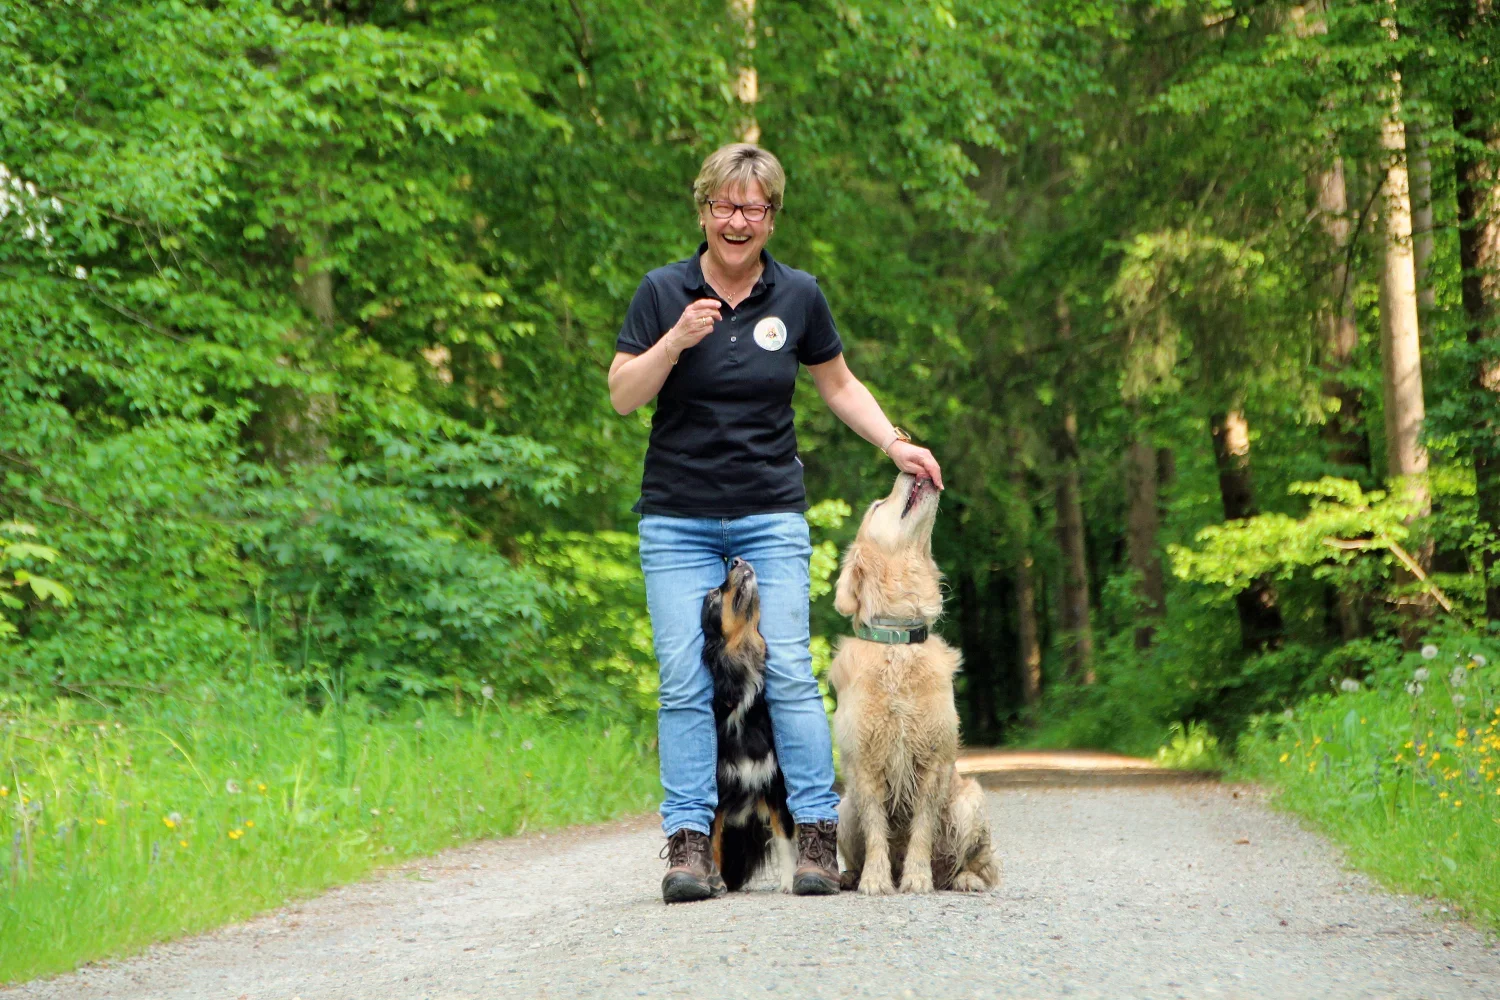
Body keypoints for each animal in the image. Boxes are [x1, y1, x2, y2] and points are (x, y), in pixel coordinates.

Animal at [828, 473, 1002, 893]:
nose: (908, 469)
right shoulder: (865, 761)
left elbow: (922, 825)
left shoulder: (934, 760)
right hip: (843, 808)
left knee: (976, 865)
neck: (899, 640)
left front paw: (917, 877)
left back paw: (964, 878)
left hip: (970, 800)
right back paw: (849, 875)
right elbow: (876, 829)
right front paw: (876, 879)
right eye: (877, 506)